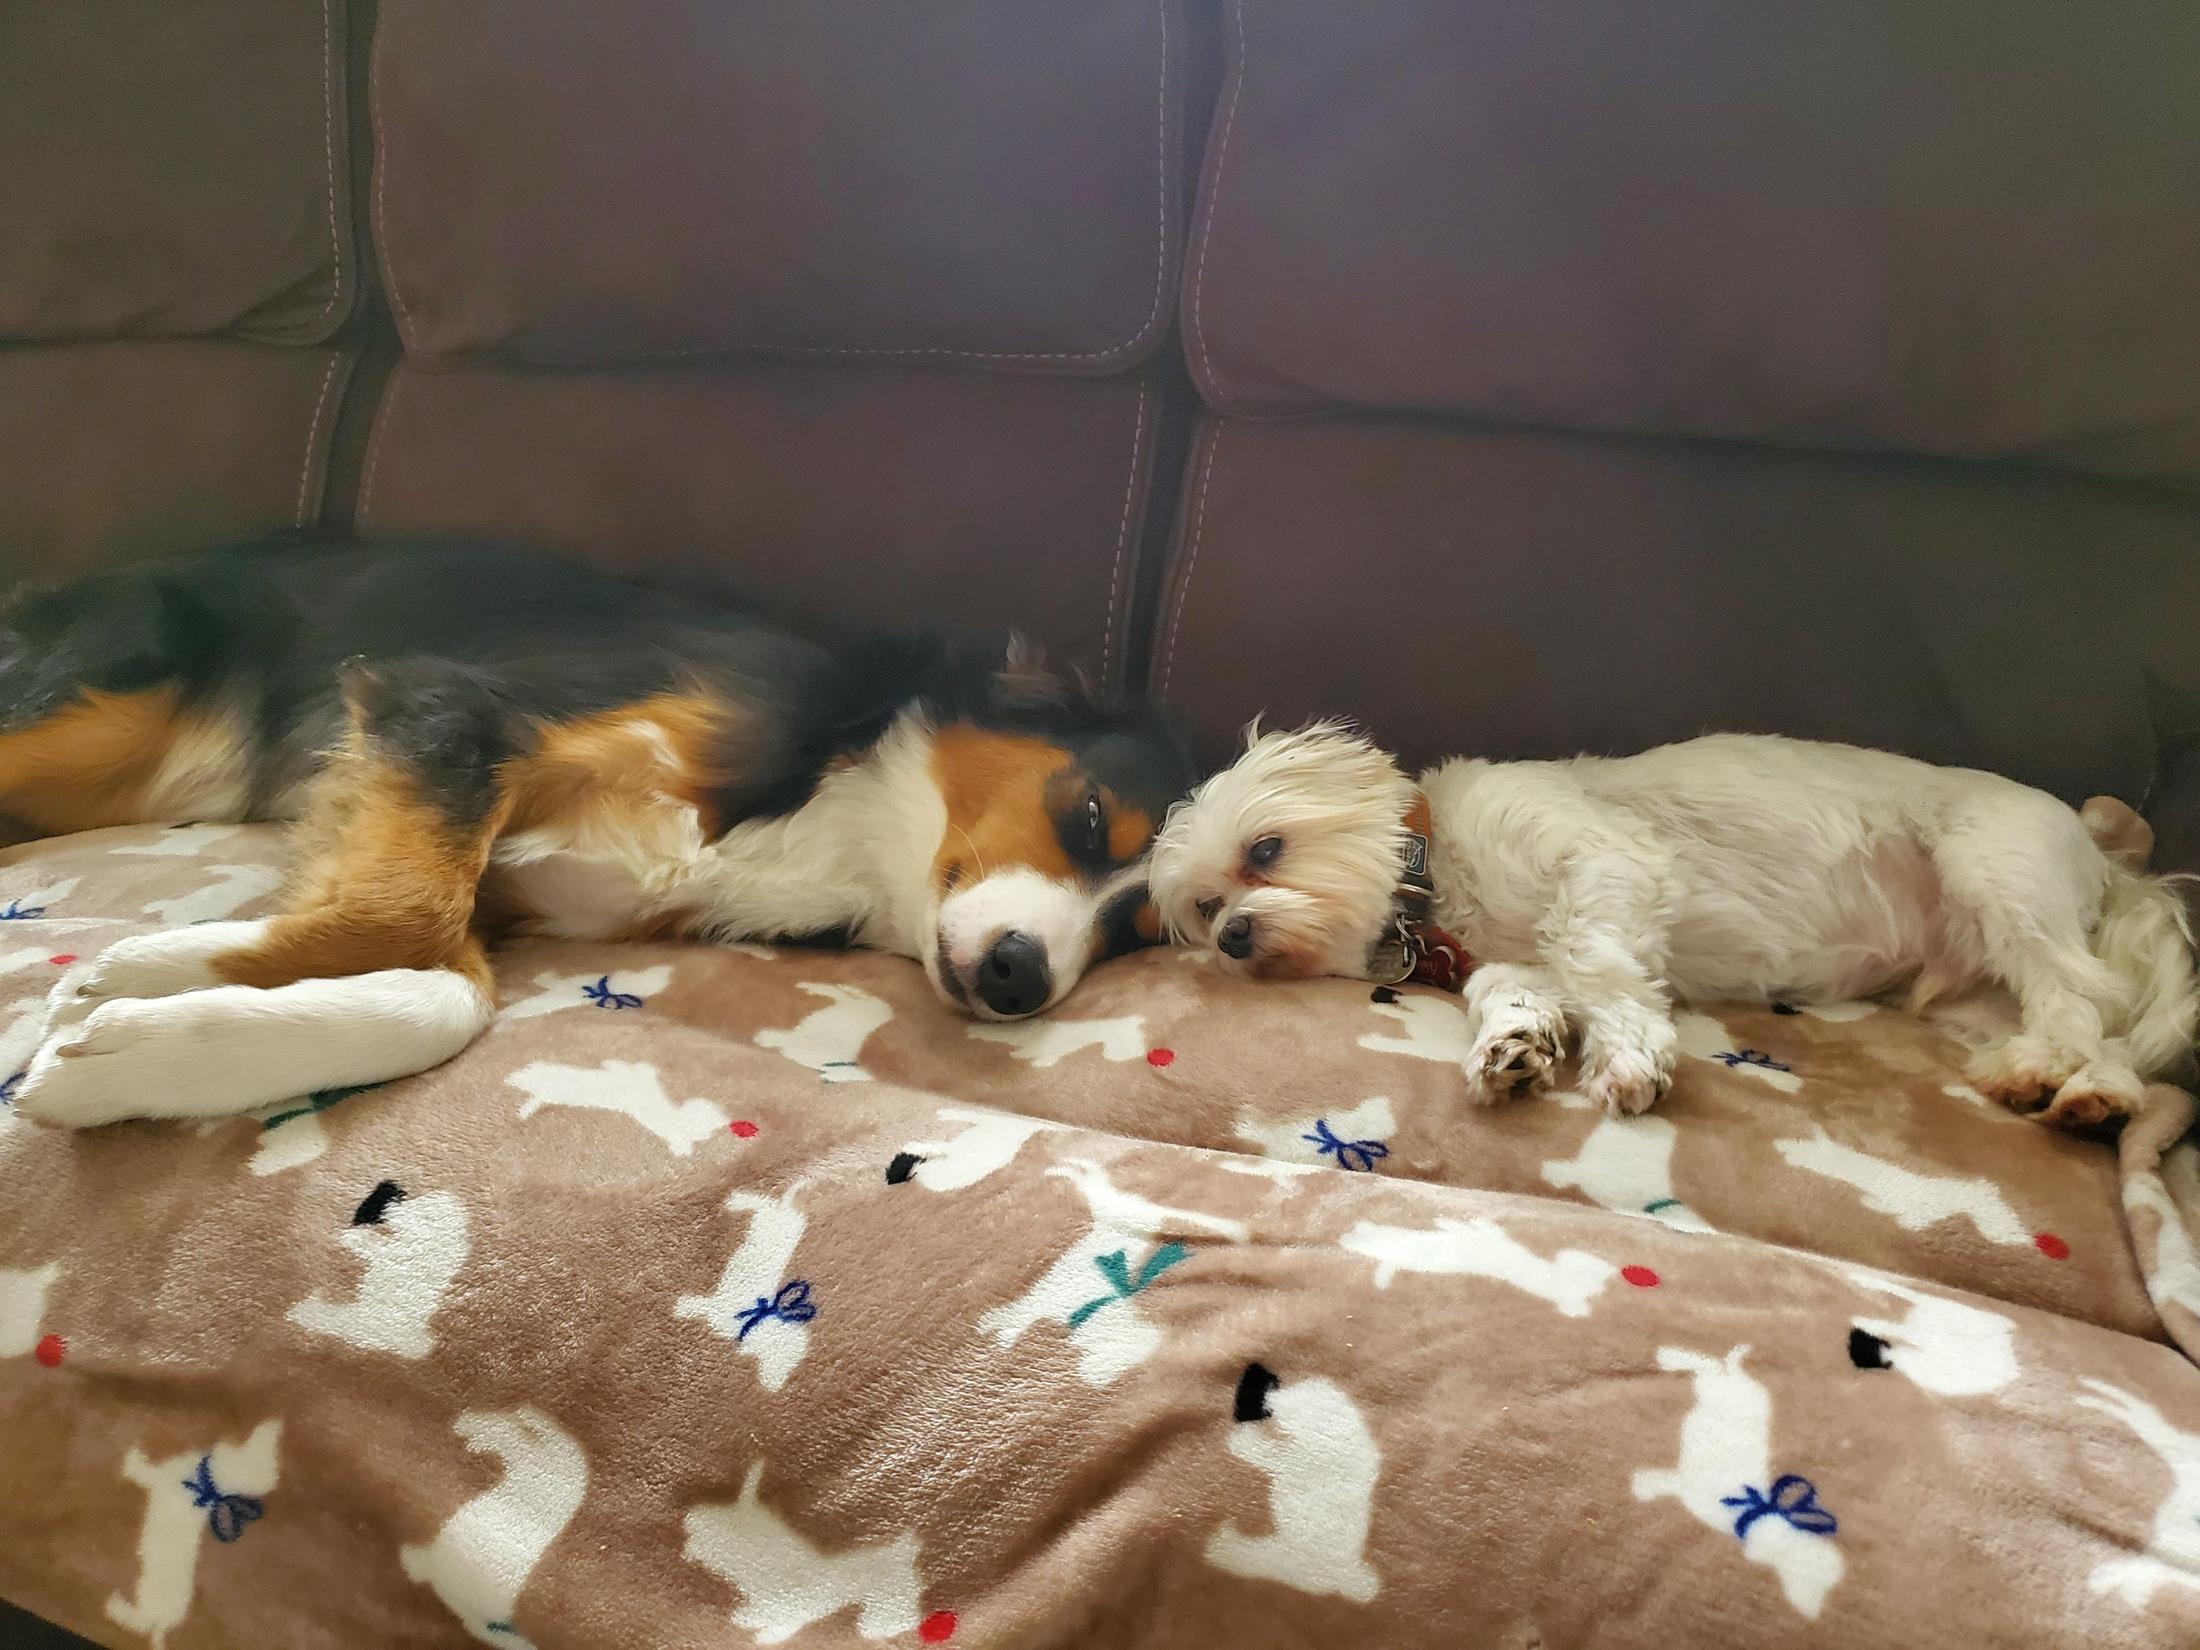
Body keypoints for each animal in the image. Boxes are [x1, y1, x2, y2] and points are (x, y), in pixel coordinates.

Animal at [0, 536, 1189, 1126]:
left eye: (1136, 934)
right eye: (1088, 815)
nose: (1021, 978)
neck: (836, 810)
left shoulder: (515, 886)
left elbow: (440, 991)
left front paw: (136, 1036)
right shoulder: (449, 707)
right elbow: (405, 915)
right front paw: (122, 980)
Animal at [1150, 722, 2197, 1126]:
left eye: (1266, 851)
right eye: (1205, 907)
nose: (1234, 935)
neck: (1443, 878)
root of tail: (2107, 858)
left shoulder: (1603, 862)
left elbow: (1594, 959)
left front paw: (1626, 1055)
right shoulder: (1504, 961)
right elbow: (1514, 992)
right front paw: (1514, 1048)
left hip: (1994, 873)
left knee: (2078, 999)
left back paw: (2046, 1072)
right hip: (1971, 995)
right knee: (2104, 1033)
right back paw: (2086, 1093)